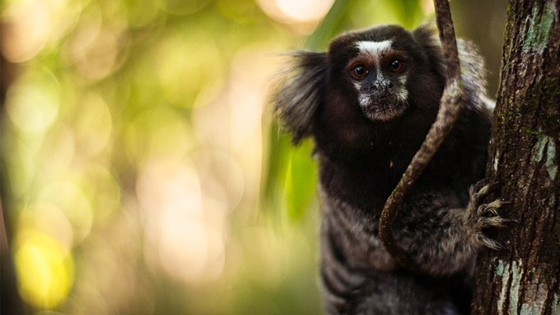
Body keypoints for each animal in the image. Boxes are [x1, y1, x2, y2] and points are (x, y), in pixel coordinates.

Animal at [274, 24, 506, 315]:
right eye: (359, 71)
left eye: (396, 65)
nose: (381, 86)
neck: (398, 149)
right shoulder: (342, 185)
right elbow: (408, 244)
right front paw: (470, 224)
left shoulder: (471, 123)